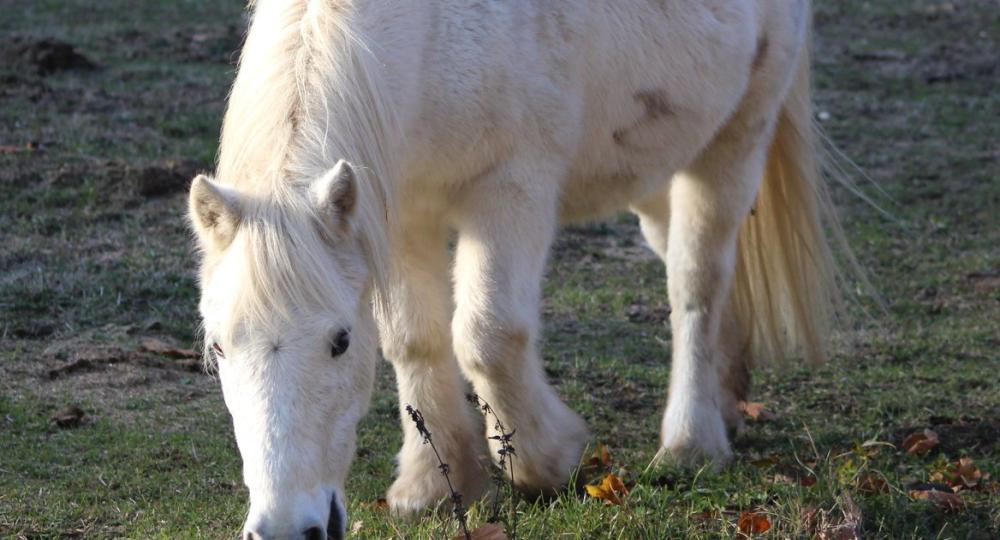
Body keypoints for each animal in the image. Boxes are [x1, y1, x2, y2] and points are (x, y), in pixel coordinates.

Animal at [189, 2, 844, 536]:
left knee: (697, 284)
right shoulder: (399, 215)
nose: (284, 530)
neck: (428, 36)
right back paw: (727, 399)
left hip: (734, 141)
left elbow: (488, 336)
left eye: (341, 342)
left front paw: (548, 462)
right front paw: (433, 484)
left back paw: (691, 444)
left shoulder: (511, 189)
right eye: (218, 348)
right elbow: (414, 341)